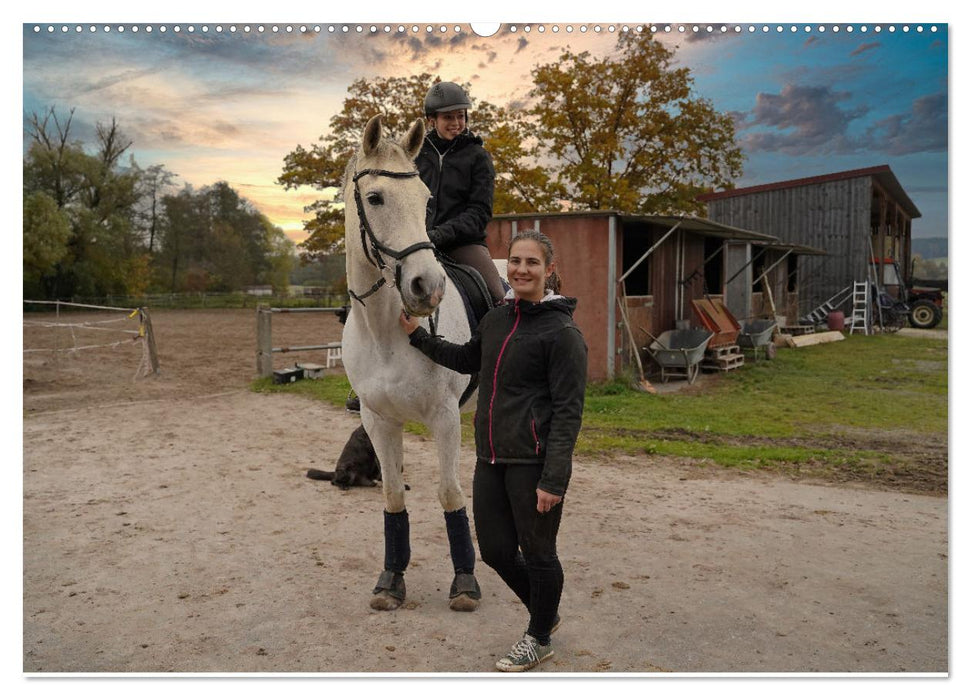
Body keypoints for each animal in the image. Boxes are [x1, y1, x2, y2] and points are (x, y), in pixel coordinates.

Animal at [342, 115, 482, 612]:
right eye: (375, 198)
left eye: (425, 200)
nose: (427, 288)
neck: (386, 335)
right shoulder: (379, 421)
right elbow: (391, 496)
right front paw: (391, 581)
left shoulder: (444, 417)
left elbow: (450, 493)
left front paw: (465, 583)